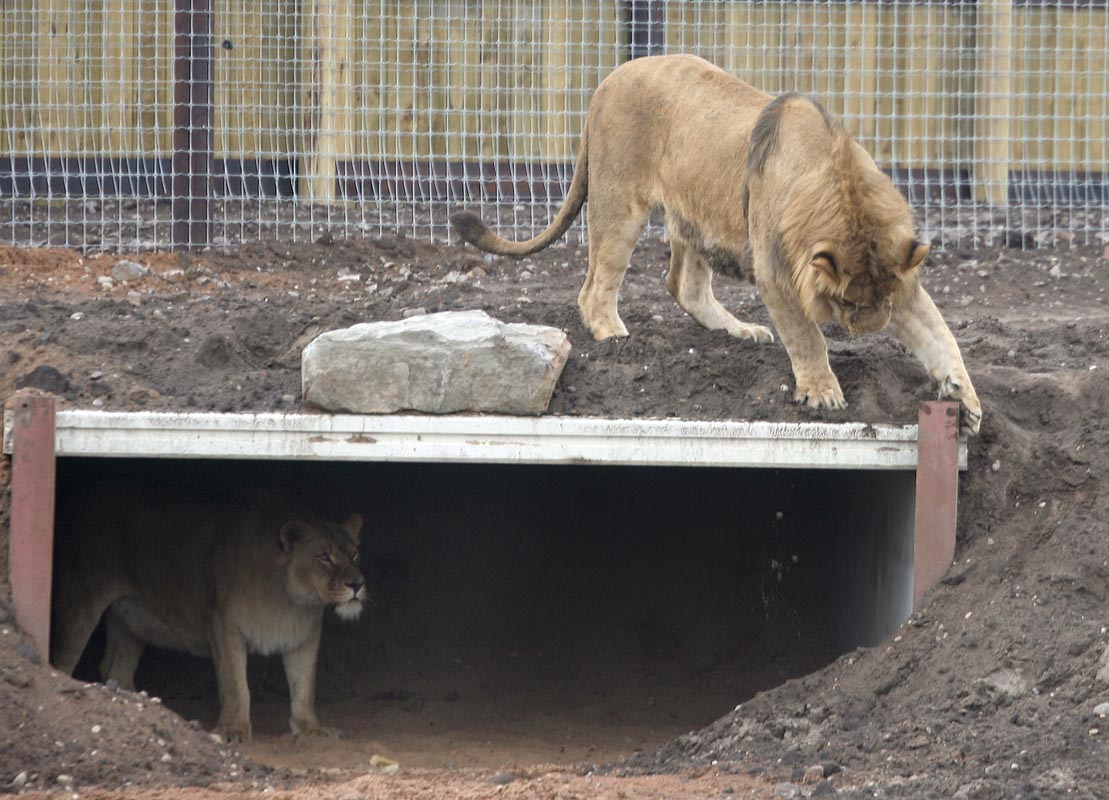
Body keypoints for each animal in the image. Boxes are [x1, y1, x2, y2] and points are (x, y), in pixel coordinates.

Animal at [51, 484, 366, 742]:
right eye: (324, 557)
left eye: (354, 555)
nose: (357, 584)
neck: (290, 600)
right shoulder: (222, 626)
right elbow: (235, 684)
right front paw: (233, 730)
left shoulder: (303, 636)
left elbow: (304, 687)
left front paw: (312, 729)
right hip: (80, 603)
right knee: (62, 661)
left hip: (131, 619)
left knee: (115, 669)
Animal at [451, 54, 981, 434]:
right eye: (844, 302)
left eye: (880, 302)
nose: (869, 329)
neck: (838, 180)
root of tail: (609, 79)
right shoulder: (776, 273)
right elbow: (807, 338)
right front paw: (821, 391)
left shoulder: (903, 282)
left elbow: (940, 336)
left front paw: (966, 400)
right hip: (620, 203)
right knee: (594, 287)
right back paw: (613, 334)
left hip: (694, 218)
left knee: (684, 286)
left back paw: (739, 331)